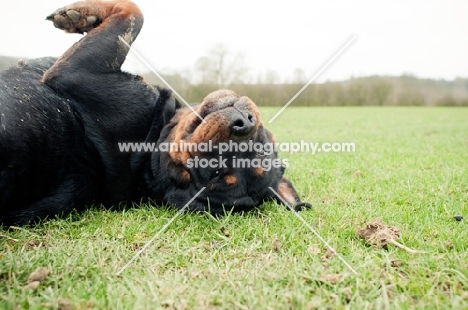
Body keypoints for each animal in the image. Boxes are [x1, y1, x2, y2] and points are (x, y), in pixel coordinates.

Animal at [0, 0, 310, 225]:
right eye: (262, 139)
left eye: (216, 172)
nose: (244, 123)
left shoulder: (77, 74)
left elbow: (134, 13)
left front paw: (78, 15)